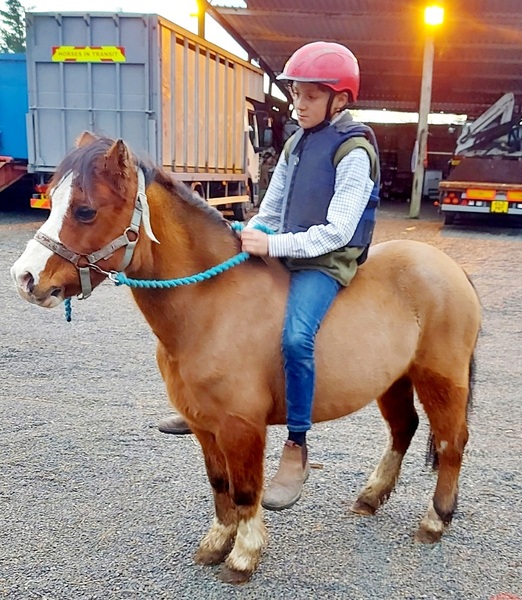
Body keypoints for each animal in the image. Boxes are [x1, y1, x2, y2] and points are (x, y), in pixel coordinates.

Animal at [10, 134, 480, 584]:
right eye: (51, 199)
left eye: (85, 210)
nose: (24, 278)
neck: (212, 305)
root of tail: (449, 268)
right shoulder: (204, 425)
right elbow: (220, 484)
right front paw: (217, 541)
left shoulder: (241, 427)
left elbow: (246, 489)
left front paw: (243, 555)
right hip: (394, 379)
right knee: (404, 430)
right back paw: (370, 497)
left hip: (441, 379)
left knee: (450, 442)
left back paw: (436, 519)